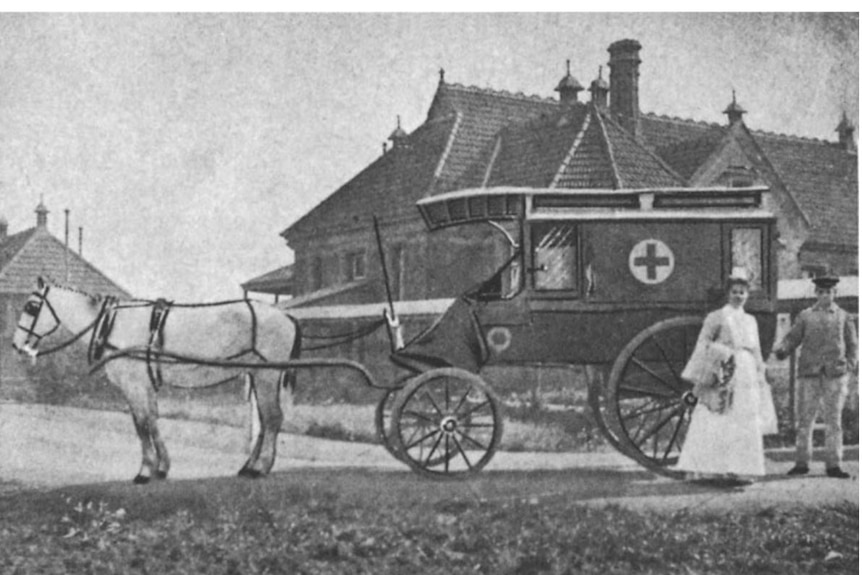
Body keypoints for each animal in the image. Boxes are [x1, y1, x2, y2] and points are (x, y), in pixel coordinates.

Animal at [11, 276, 304, 484]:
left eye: (31, 306)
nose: (15, 345)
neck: (113, 324)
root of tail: (286, 316)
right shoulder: (146, 385)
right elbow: (152, 421)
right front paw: (162, 467)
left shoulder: (134, 385)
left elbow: (141, 425)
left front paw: (145, 470)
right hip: (257, 375)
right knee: (266, 421)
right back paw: (248, 466)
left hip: (267, 375)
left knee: (272, 418)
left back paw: (260, 468)